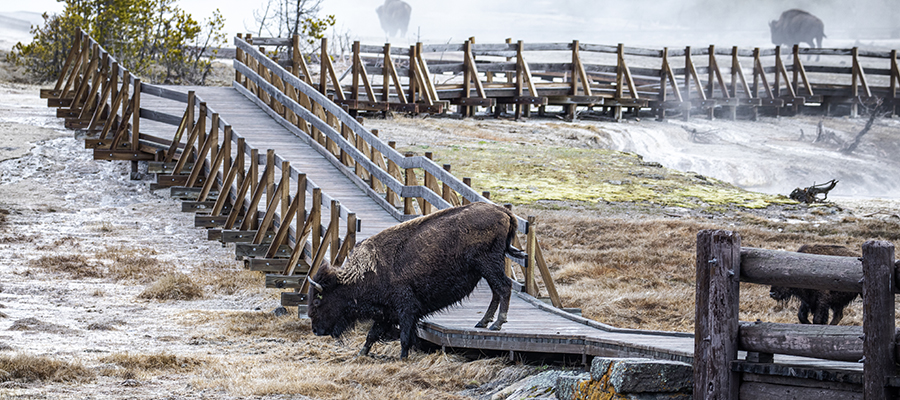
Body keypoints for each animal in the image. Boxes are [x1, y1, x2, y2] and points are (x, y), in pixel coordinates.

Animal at [307, 202, 523, 359]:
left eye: (317, 301)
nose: (316, 330)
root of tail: (503, 212)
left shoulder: (406, 309)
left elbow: (404, 337)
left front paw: (403, 357)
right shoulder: (387, 313)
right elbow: (372, 335)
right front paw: (361, 353)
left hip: (488, 264)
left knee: (504, 287)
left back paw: (496, 324)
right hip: (486, 268)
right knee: (496, 290)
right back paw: (483, 322)